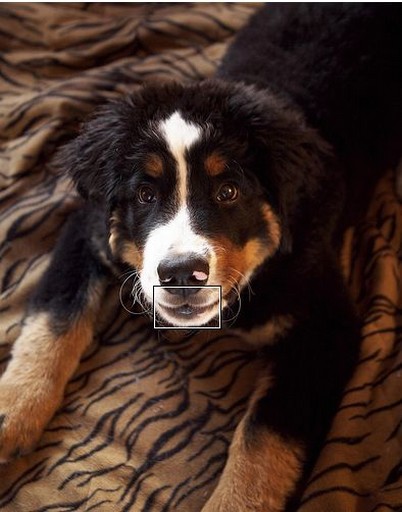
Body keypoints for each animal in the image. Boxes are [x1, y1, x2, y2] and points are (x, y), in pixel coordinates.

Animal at [0, 4, 402, 512]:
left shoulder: (325, 326)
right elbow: (53, 322)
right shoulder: (88, 233)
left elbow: (262, 441)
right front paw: (12, 414)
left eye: (228, 192)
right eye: (146, 194)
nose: (179, 274)